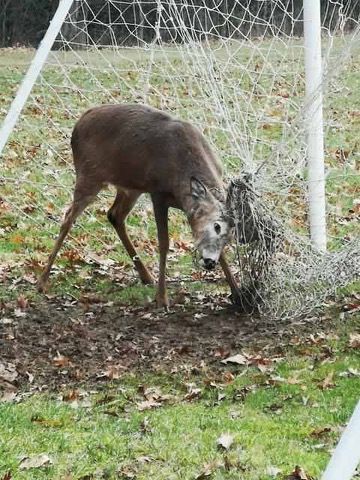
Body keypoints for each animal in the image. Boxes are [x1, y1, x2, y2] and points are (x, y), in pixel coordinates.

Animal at [37, 103, 242, 310]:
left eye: (230, 237)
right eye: (216, 226)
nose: (209, 262)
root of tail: (80, 121)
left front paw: (237, 293)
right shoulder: (157, 193)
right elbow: (163, 243)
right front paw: (162, 298)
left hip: (129, 187)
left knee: (114, 215)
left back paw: (146, 276)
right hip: (89, 174)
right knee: (68, 218)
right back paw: (42, 282)